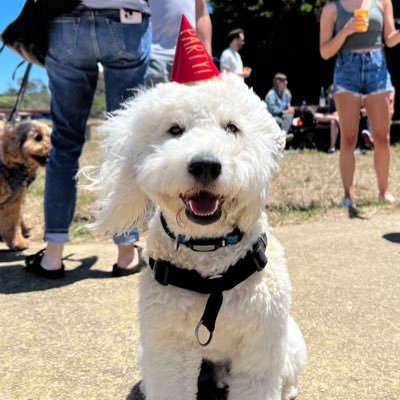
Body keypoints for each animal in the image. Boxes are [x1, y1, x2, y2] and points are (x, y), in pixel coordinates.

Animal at [87, 75, 306, 400]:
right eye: (175, 129)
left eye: (232, 127)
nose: (205, 165)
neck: (209, 258)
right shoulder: (169, 345)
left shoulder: (259, 343)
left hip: (290, 341)